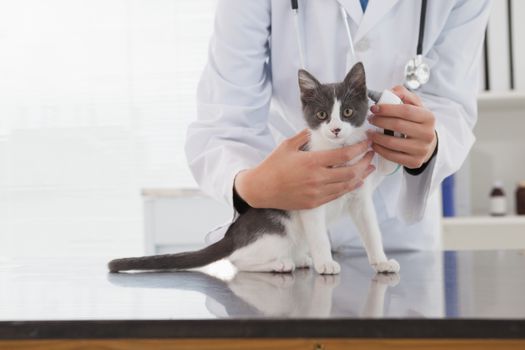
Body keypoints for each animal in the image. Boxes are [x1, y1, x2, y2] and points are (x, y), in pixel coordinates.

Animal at [108, 63, 400, 276]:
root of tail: (234, 234)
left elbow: (371, 229)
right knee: (239, 260)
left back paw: (301, 258)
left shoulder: (360, 194)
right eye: (322, 115)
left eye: (348, 111)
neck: (334, 151)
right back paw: (280, 263)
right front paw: (325, 263)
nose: (336, 129)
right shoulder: (311, 198)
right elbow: (318, 235)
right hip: (277, 230)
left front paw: (381, 261)